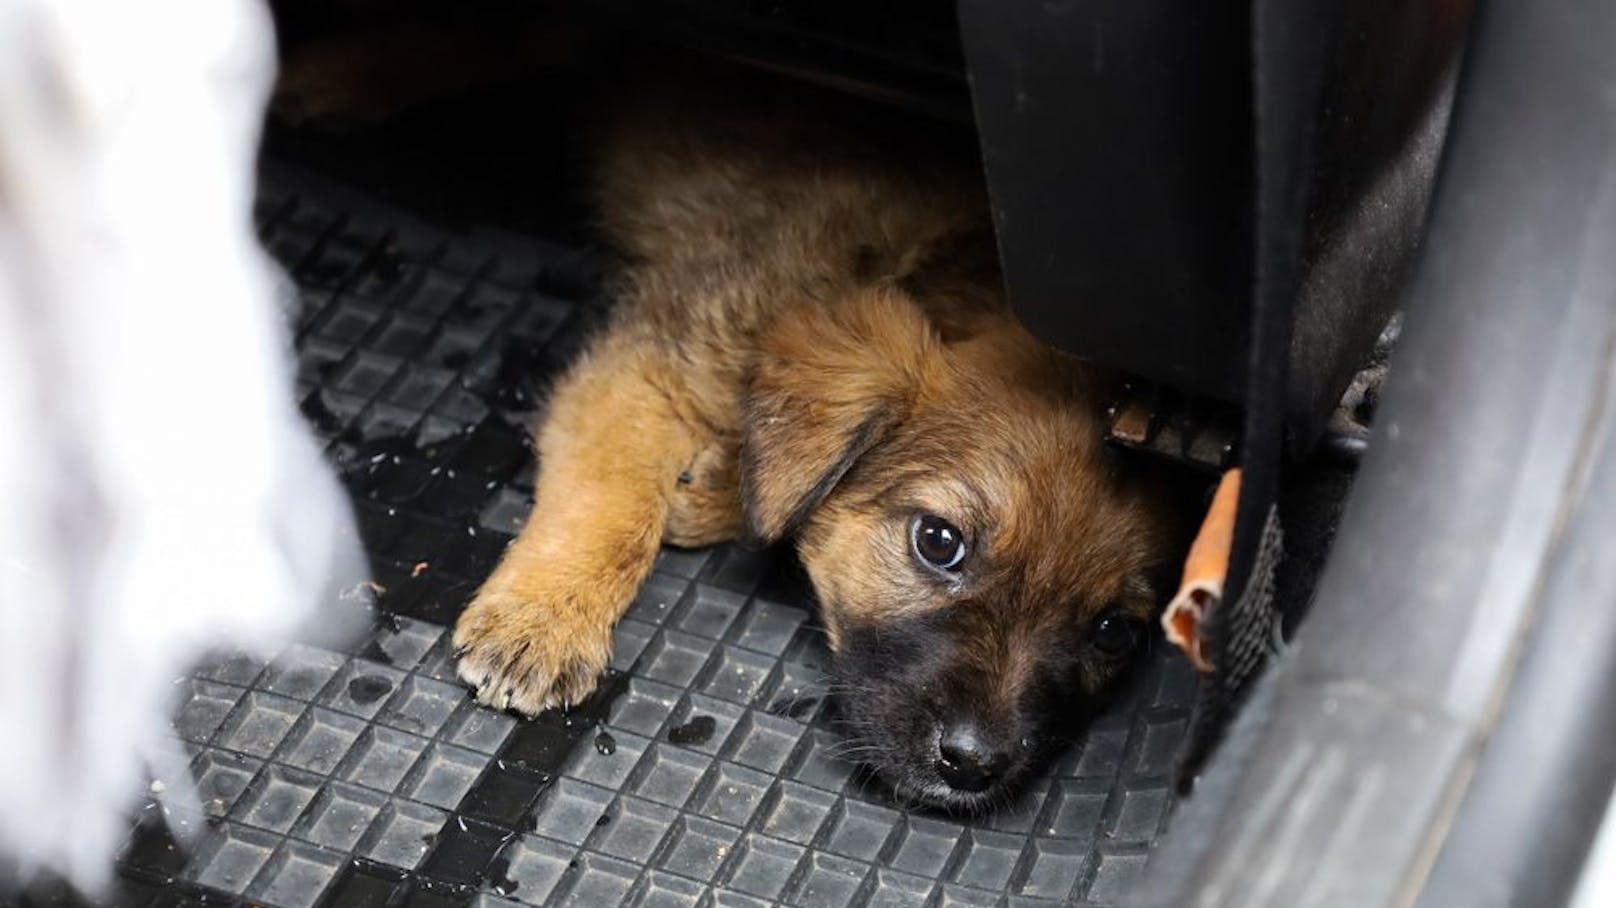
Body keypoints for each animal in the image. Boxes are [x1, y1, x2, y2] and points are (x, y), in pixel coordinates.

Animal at [449, 83, 1182, 804]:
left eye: (1113, 631)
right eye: (938, 542)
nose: (974, 766)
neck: (924, 261)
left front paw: (715, 488)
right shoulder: (649, 368)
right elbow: (615, 505)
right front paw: (543, 621)